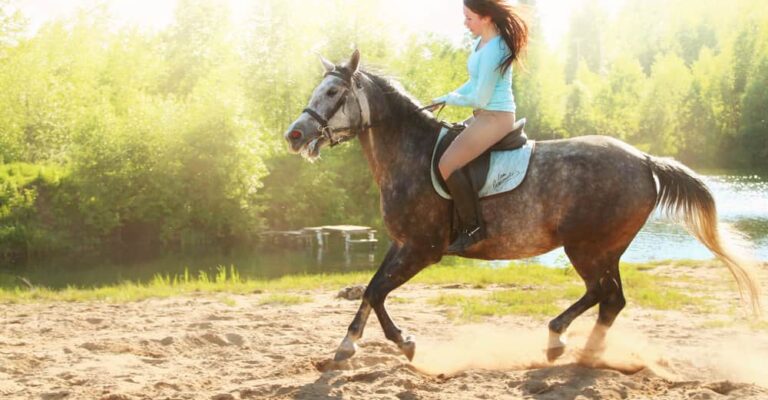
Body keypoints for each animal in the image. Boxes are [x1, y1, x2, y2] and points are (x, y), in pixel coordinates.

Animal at [283, 50, 762, 363]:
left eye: (332, 93)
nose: (294, 135)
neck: (409, 153)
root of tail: (644, 160)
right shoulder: (401, 243)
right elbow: (370, 288)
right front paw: (349, 345)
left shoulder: (422, 248)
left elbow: (379, 290)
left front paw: (400, 342)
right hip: (606, 249)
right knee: (612, 299)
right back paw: (586, 351)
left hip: (586, 247)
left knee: (601, 293)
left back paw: (557, 340)